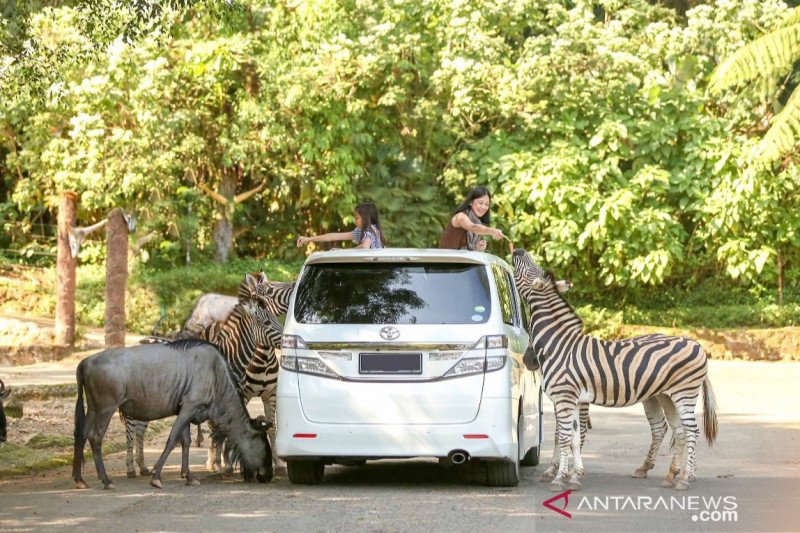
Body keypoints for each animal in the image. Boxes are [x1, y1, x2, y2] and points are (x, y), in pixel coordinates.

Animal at [512, 249, 720, 490]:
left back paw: (686, 478)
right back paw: (670, 476)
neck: (559, 344)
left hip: (684, 393)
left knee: (691, 431)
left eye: (530, 270)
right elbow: (572, 437)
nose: (518, 250)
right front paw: (573, 477)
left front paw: (558, 478)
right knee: (678, 431)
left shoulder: (564, 397)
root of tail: (697, 344)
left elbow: (563, 437)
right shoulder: (573, 399)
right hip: (666, 396)